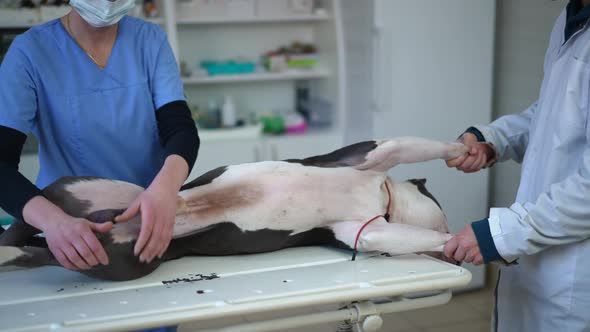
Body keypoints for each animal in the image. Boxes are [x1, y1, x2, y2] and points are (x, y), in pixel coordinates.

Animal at [1, 137, 472, 280]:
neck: (383, 194)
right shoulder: (371, 154)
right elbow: (412, 144)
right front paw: (463, 151)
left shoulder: (363, 228)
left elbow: (387, 233)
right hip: (89, 202)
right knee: (31, 236)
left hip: (101, 235)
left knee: (31, 240)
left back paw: (10, 252)